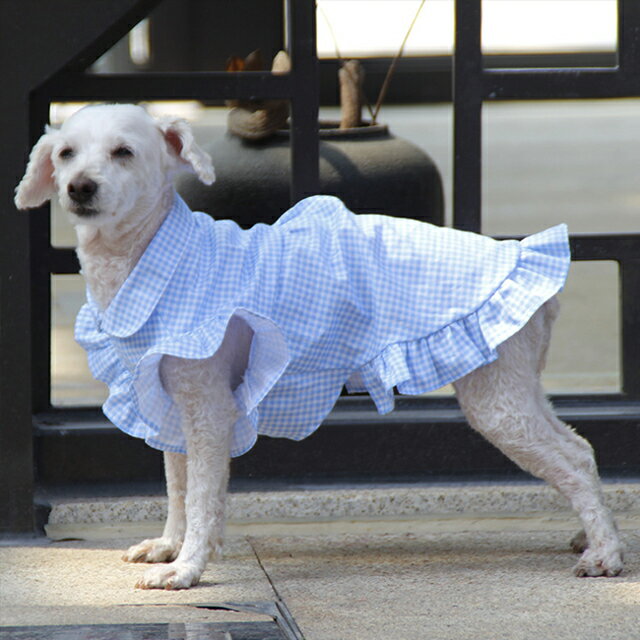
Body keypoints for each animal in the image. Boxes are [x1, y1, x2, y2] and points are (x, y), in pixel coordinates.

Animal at [15, 102, 624, 588]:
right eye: (65, 153)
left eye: (124, 152)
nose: (79, 187)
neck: (149, 254)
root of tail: (523, 257)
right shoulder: (169, 400)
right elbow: (179, 486)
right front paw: (169, 546)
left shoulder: (208, 407)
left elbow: (204, 494)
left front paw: (187, 569)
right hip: (518, 385)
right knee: (580, 448)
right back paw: (592, 535)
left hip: (496, 399)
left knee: (571, 459)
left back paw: (605, 554)